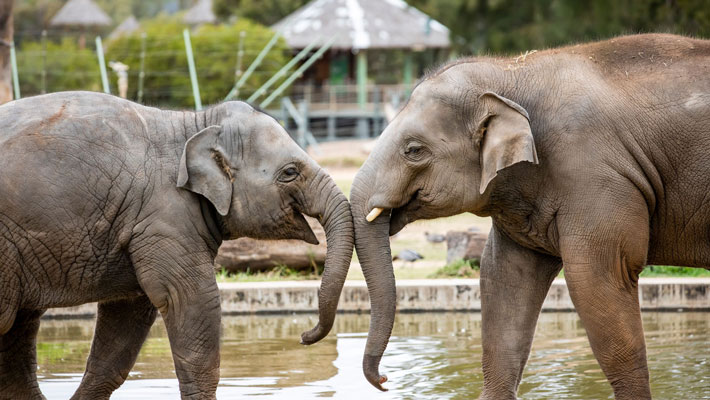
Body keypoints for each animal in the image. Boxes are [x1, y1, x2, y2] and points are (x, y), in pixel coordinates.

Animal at [0, 91, 354, 400]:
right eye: (290, 172)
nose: (304, 336)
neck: (194, 124)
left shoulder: (139, 225)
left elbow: (127, 318)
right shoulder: (164, 216)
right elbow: (191, 298)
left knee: (18, 337)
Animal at [350, 32, 710, 398]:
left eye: (413, 150)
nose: (384, 381)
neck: (511, 70)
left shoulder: (597, 179)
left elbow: (598, 281)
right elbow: (503, 282)